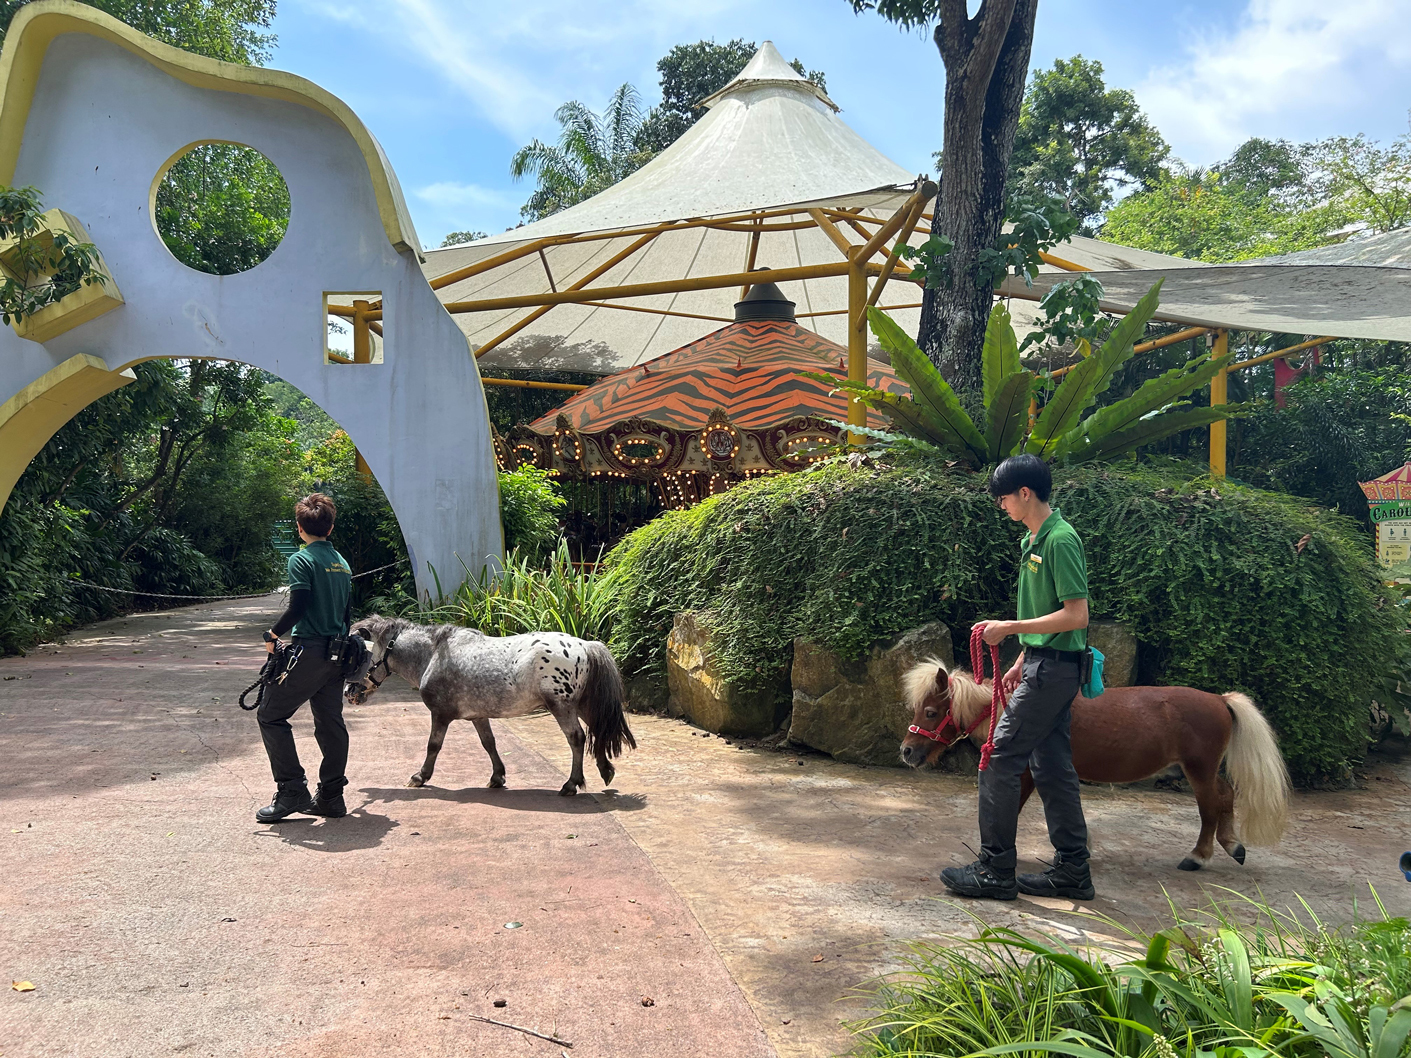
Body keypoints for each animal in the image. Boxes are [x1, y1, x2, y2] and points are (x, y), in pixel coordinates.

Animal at [903, 660, 1292, 874]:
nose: (907, 751)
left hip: (1198, 770)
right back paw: (1233, 846)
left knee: (1211, 807)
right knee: (1225, 797)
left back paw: (1198, 857)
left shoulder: (1026, 774)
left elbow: (1013, 807)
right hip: (1201, 770)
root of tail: (1220, 700)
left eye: (931, 712)